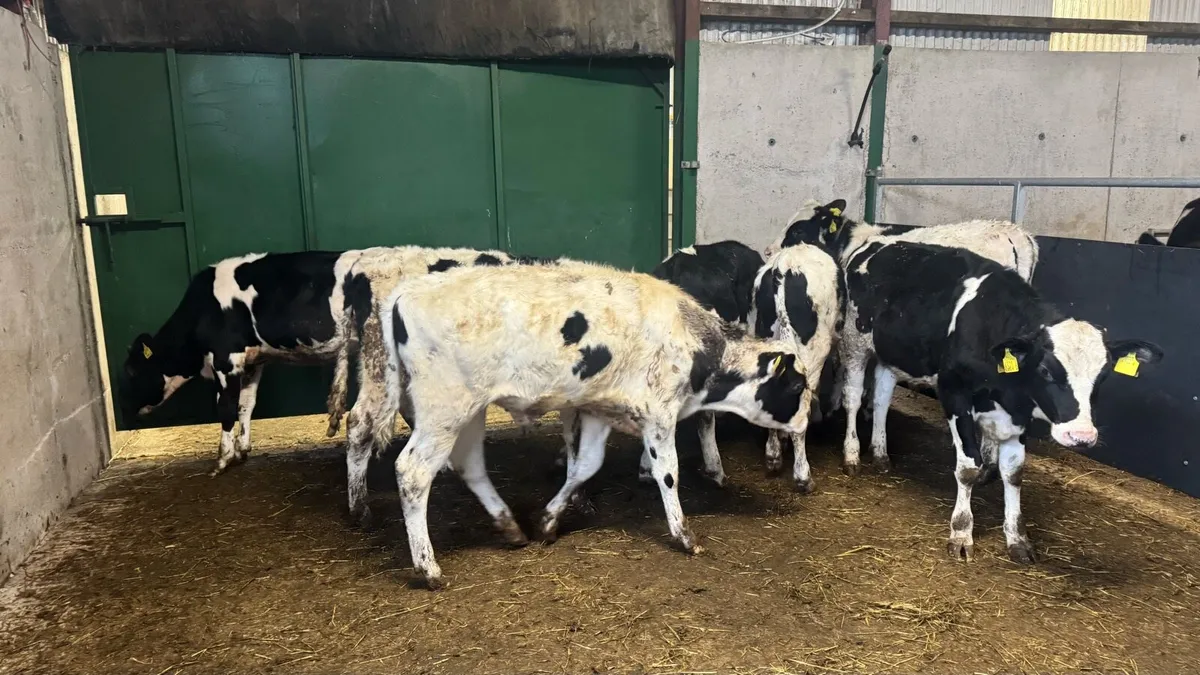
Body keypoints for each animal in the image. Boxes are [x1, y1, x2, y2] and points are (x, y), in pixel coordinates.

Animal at [379, 261, 812, 588]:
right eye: (796, 385)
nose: (806, 423)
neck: (693, 339)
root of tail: (406, 293)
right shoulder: (659, 412)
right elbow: (667, 473)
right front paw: (684, 534)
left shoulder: (600, 411)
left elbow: (584, 466)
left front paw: (549, 521)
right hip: (443, 412)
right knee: (412, 472)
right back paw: (428, 567)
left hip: (470, 411)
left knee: (469, 465)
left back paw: (510, 526)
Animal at [771, 199, 1040, 475]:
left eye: (797, 230)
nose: (770, 249)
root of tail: (1014, 233)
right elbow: (878, 392)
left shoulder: (852, 337)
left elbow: (851, 386)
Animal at [841, 240, 1160, 562]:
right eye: (1045, 370)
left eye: (1103, 375)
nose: (1080, 435)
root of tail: (882, 242)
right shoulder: (954, 393)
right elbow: (968, 467)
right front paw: (961, 533)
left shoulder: (1018, 413)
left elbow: (1014, 473)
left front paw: (1017, 538)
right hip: (855, 344)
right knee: (854, 398)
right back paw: (852, 455)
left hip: (890, 354)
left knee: (882, 399)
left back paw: (881, 453)